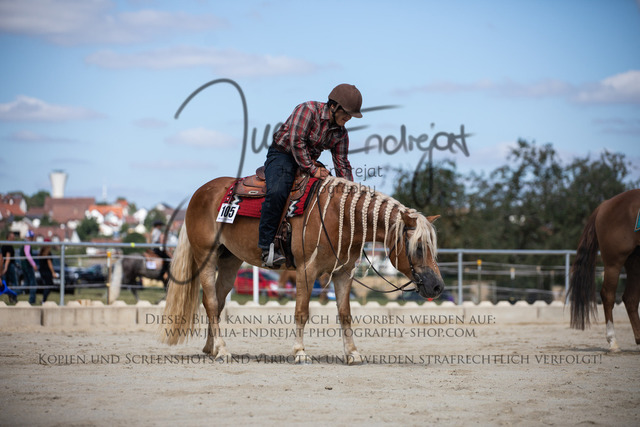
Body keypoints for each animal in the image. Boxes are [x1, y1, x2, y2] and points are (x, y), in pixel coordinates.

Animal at [160, 175, 444, 364]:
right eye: (419, 247)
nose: (437, 286)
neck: (340, 217)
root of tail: (199, 193)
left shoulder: (343, 273)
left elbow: (345, 314)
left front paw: (352, 353)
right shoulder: (307, 271)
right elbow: (301, 312)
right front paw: (299, 352)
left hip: (230, 260)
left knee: (217, 303)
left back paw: (212, 348)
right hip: (206, 258)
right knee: (209, 302)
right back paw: (223, 350)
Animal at [568, 189, 640, 351]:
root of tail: (605, 205)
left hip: (635, 262)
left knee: (631, 298)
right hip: (614, 263)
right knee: (608, 295)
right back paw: (613, 342)